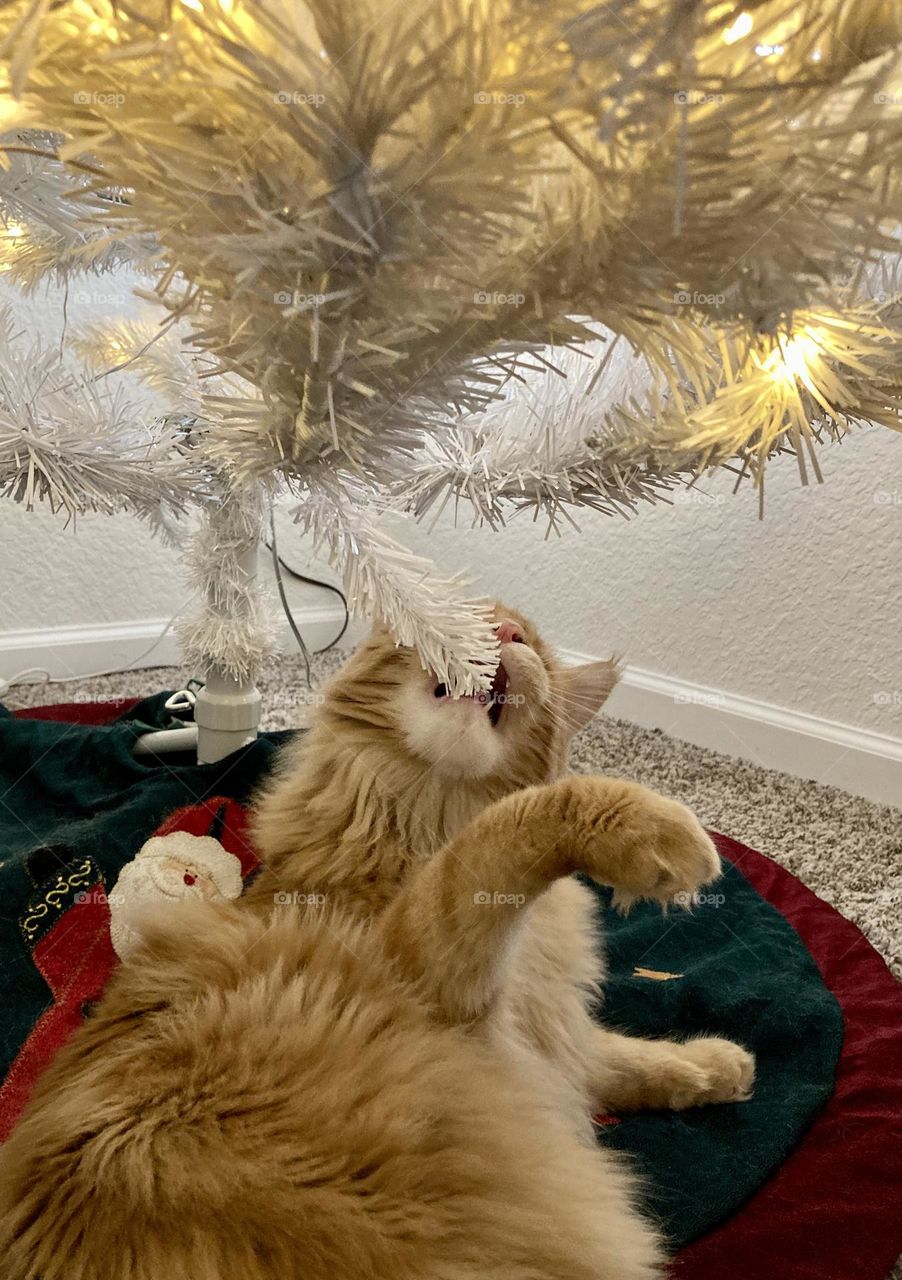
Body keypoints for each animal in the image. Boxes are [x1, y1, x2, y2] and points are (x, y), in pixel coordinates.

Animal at [0, 604, 752, 1274]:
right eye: (465, 615)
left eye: (531, 643)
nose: (507, 632)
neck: (420, 817)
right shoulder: (442, 974)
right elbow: (516, 825)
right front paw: (661, 835)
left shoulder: (545, 1029)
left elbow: (618, 1057)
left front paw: (719, 1066)